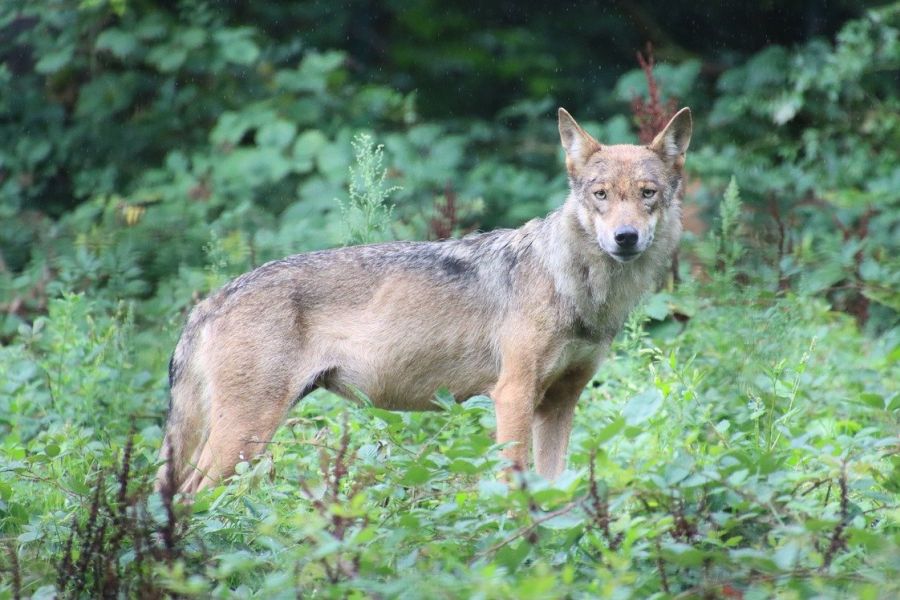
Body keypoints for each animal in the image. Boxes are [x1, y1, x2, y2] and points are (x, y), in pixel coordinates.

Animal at [155, 106, 692, 492]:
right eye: (601, 195)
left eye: (646, 193)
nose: (625, 237)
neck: (580, 289)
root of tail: (209, 301)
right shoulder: (513, 395)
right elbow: (513, 484)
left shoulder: (559, 403)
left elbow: (553, 488)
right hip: (244, 438)